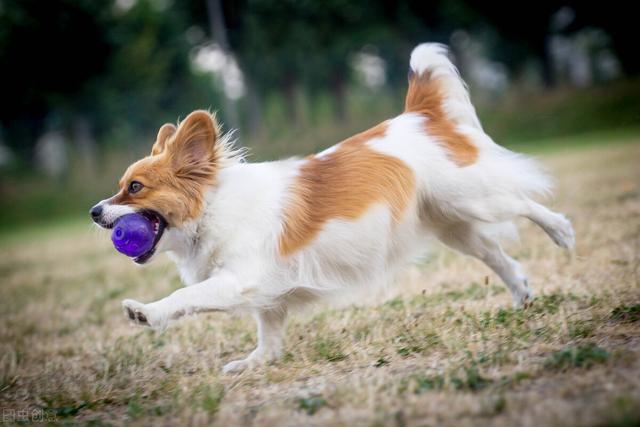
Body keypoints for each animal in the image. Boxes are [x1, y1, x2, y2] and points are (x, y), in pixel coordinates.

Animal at [90, 41, 576, 372]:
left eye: (134, 187)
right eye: (119, 187)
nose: (94, 212)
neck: (212, 207)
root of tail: (419, 115)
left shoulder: (238, 280)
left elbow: (185, 297)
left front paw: (146, 312)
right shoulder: (267, 296)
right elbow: (269, 335)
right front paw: (254, 363)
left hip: (472, 196)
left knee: (524, 201)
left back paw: (561, 231)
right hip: (454, 225)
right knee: (496, 254)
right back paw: (521, 293)